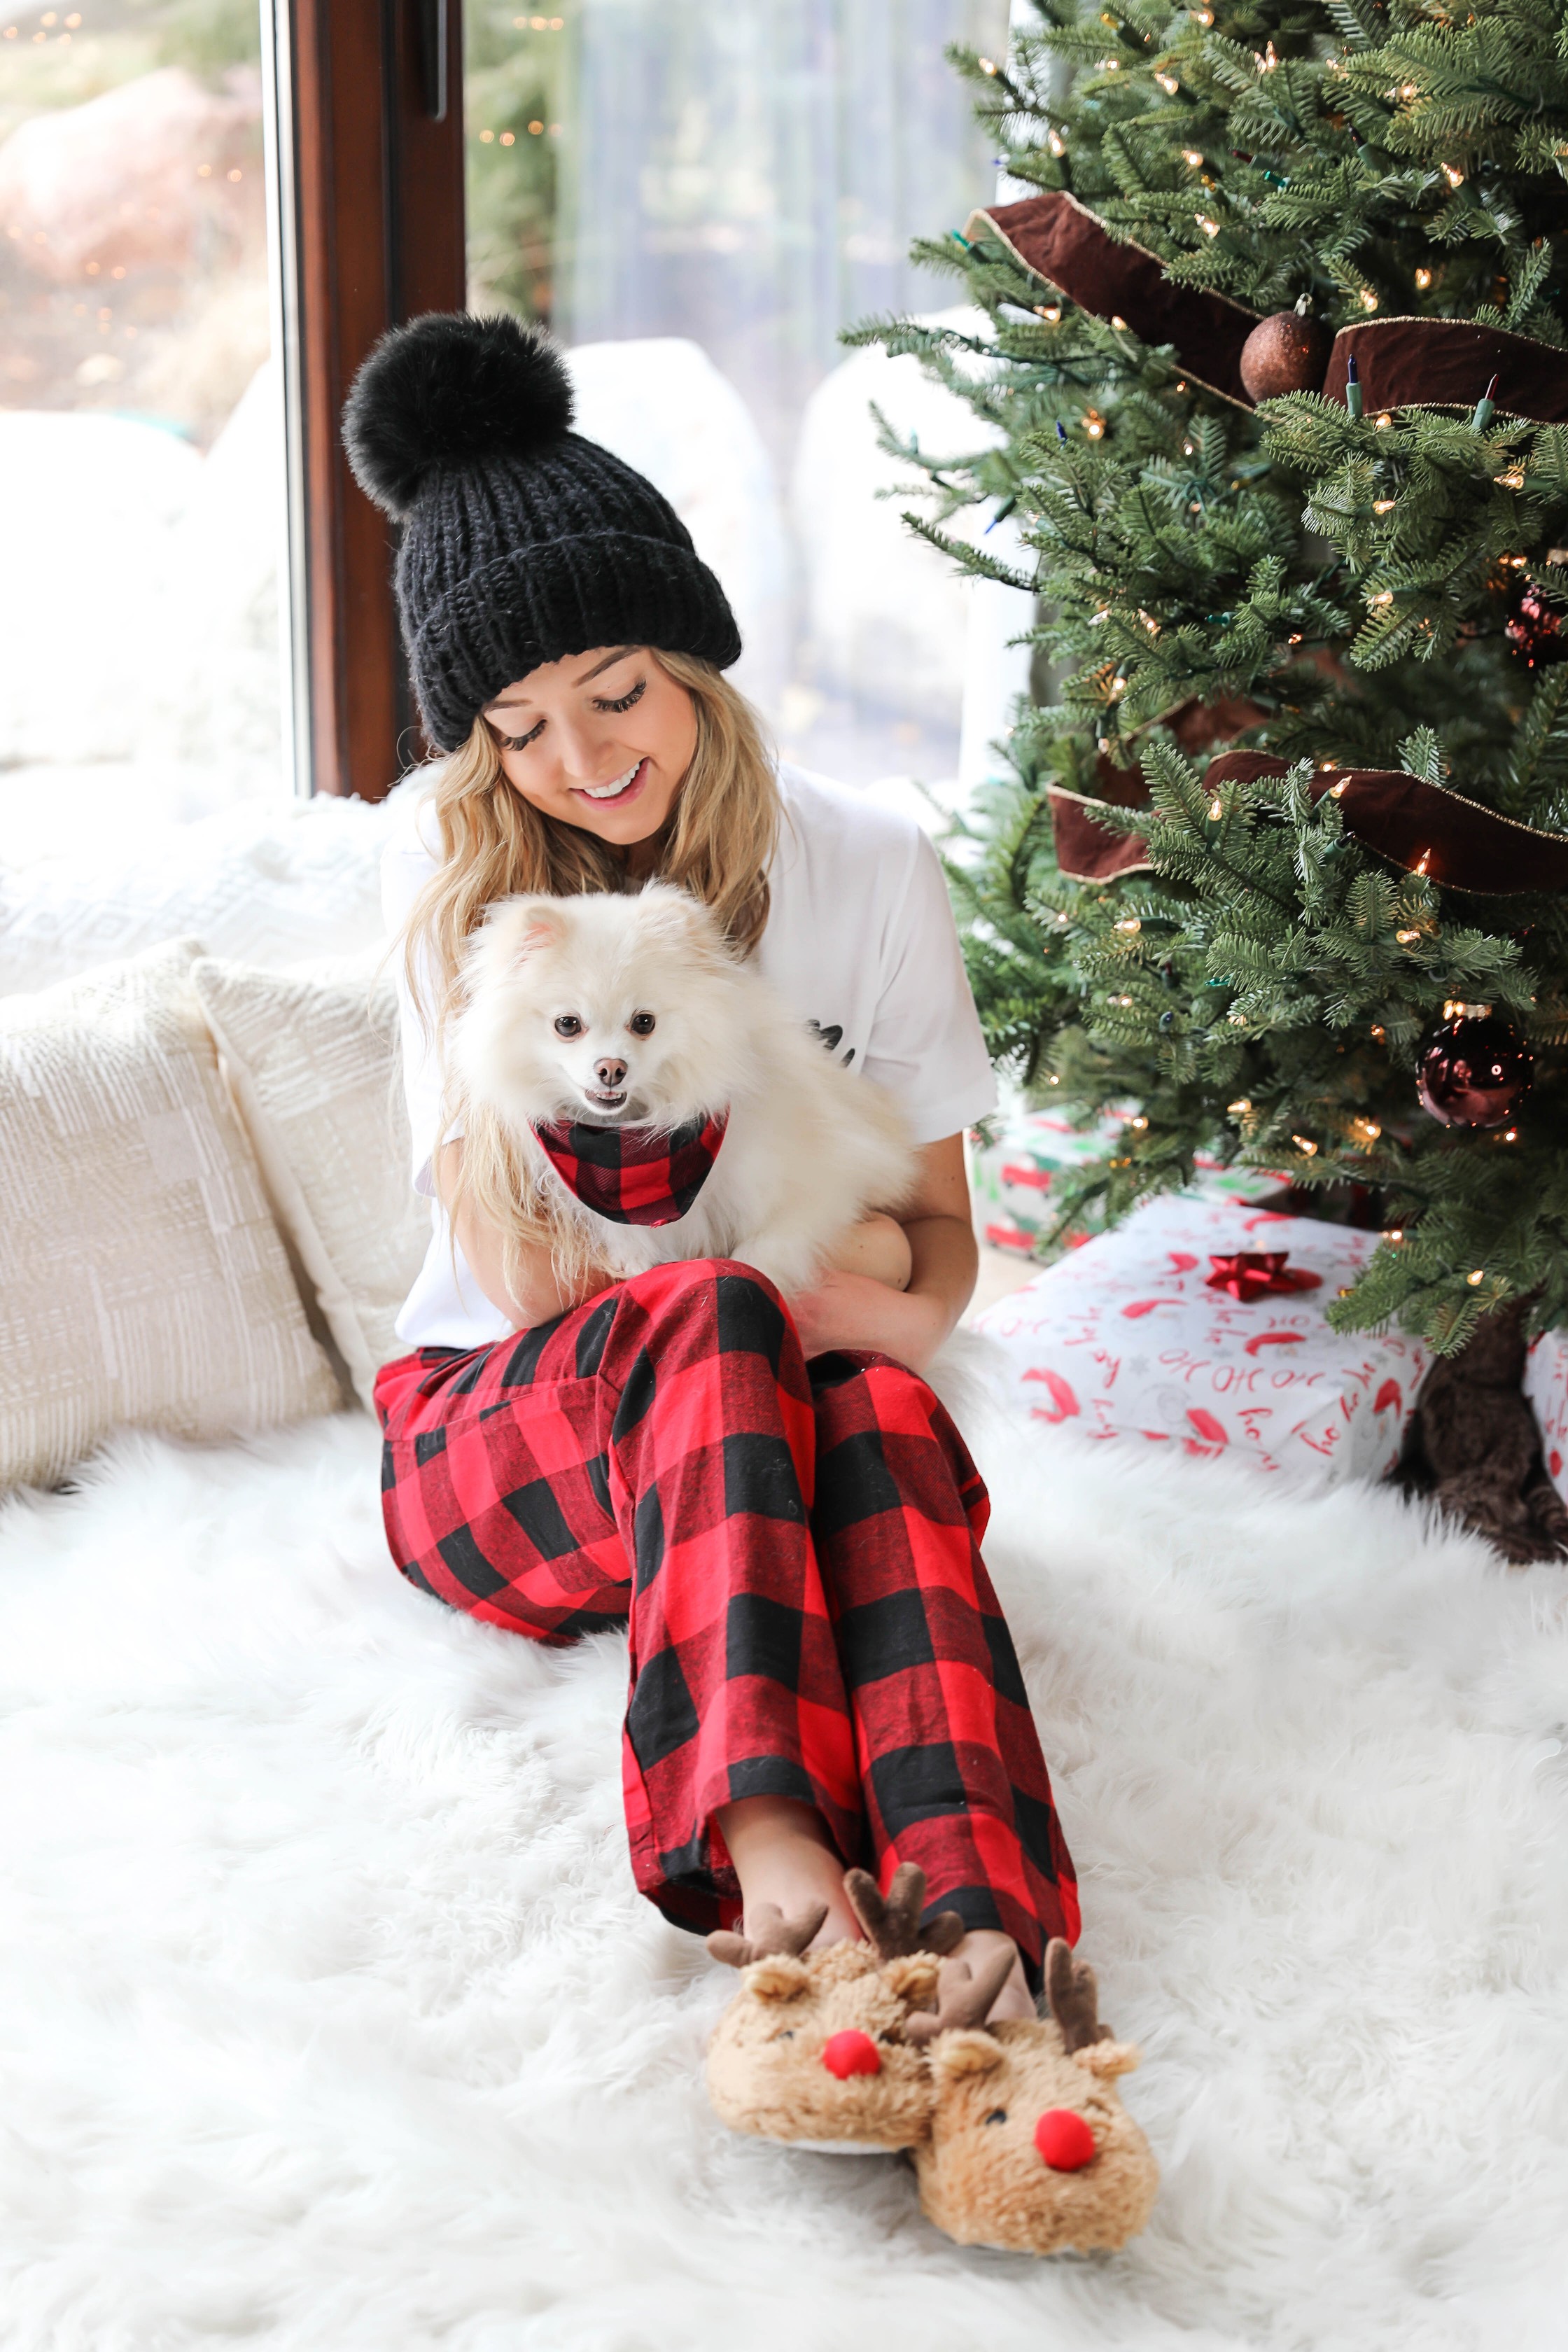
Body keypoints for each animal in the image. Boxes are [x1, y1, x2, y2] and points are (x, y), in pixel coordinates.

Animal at [451, 884, 921, 1298]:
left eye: (644, 1022)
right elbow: (623, 1236)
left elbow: (764, 1249)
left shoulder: (820, 1183)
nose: (611, 1069)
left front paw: (758, 1273)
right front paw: (635, 1259)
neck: (633, 1150)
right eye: (568, 1024)